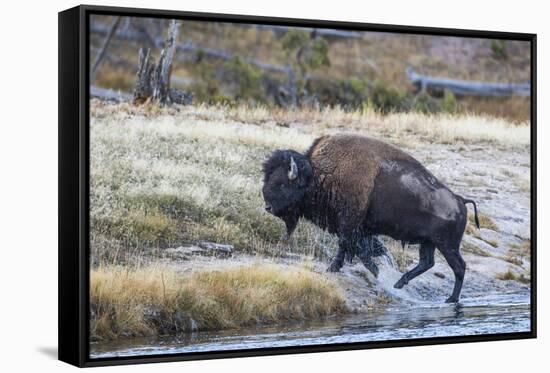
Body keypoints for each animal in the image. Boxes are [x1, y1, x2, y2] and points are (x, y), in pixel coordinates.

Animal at [262, 134, 478, 302]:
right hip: (429, 242)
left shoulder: (350, 223)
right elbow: (359, 248)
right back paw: (400, 284)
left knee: (459, 267)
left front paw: (337, 268)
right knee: (428, 263)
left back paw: (451, 299)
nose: (268, 207)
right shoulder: (357, 228)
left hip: (447, 245)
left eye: (281, 183)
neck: (319, 173)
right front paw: (373, 266)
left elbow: (348, 246)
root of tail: (460, 200)